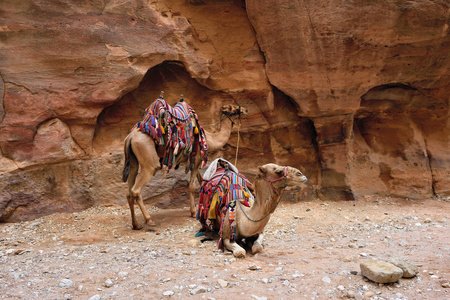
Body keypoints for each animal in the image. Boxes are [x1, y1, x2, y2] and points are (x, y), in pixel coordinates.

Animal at [123, 99, 248, 231]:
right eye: (234, 108)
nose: (245, 110)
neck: (208, 139)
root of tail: (130, 137)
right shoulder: (197, 157)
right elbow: (192, 186)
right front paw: (193, 212)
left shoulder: (193, 160)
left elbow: (201, 181)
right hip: (148, 160)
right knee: (136, 190)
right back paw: (149, 220)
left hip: (133, 161)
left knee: (129, 191)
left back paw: (136, 224)